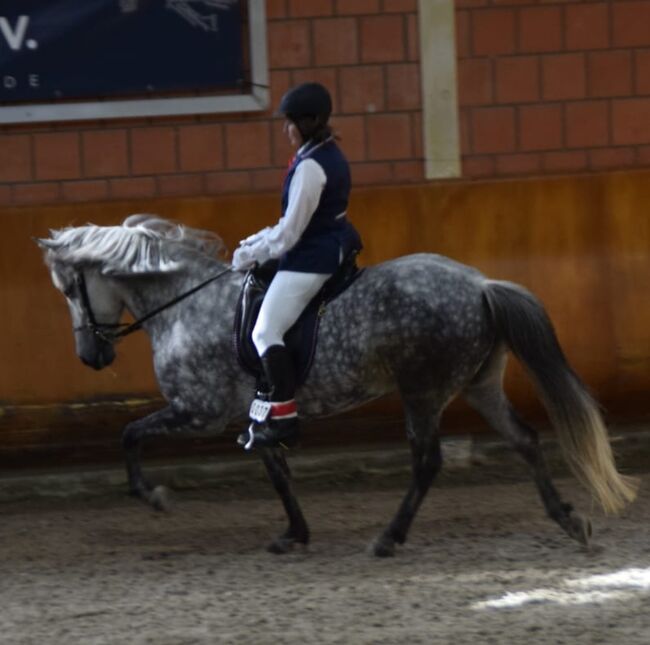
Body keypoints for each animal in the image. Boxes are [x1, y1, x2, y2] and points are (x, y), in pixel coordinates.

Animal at [38, 215, 636, 552]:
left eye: (69, 289)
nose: (92, 356)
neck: (183, 303)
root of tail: (480, 283)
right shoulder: (253, 415)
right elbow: (276, 472)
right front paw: (293, 534)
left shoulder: (196, 411)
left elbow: (130, 435)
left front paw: (155, 497)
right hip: (478, 385)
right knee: (525, 440)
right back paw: (568, 521)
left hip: (423, 391)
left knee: (428, 461)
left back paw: (390, 538)